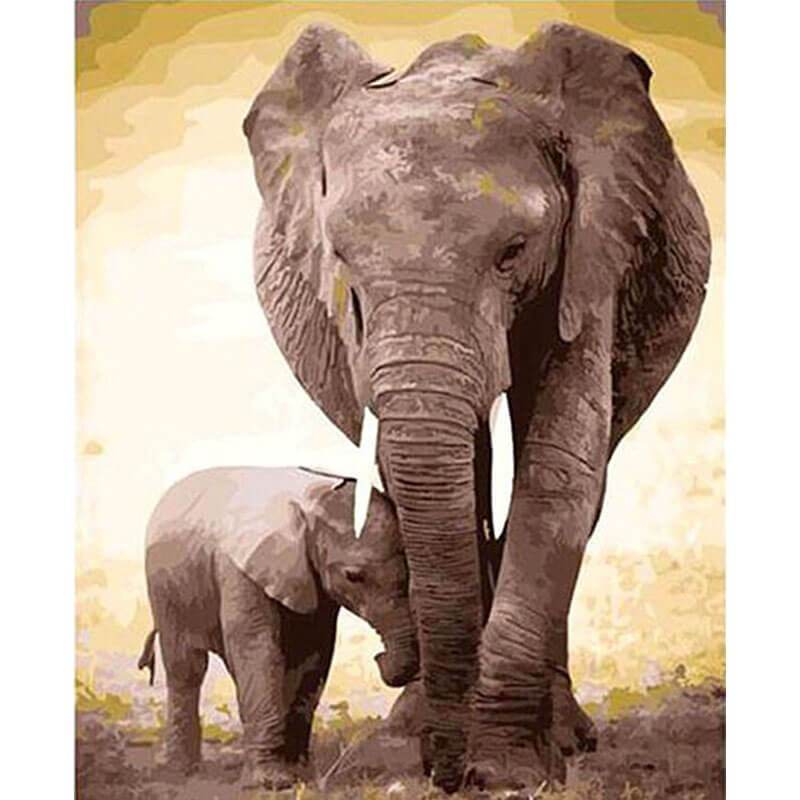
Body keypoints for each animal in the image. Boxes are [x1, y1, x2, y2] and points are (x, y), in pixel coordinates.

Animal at [138, 466, 418, 790]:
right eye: (353, 576)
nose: (379, 657)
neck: (311, 505)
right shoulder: (241, 572)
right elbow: (258, 650)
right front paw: (270, 783)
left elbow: (313, 655)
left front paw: (299, 775)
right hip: (163, 587)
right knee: (187, 668)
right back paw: (180, 770)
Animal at [243, 21, 710, 793]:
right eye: (341, 257)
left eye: (513, 251)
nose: (447, 771)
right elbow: (415, 471)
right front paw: (444, 749)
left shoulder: (592, 255)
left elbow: (559, 470)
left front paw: (509, 769)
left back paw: (564, 734)